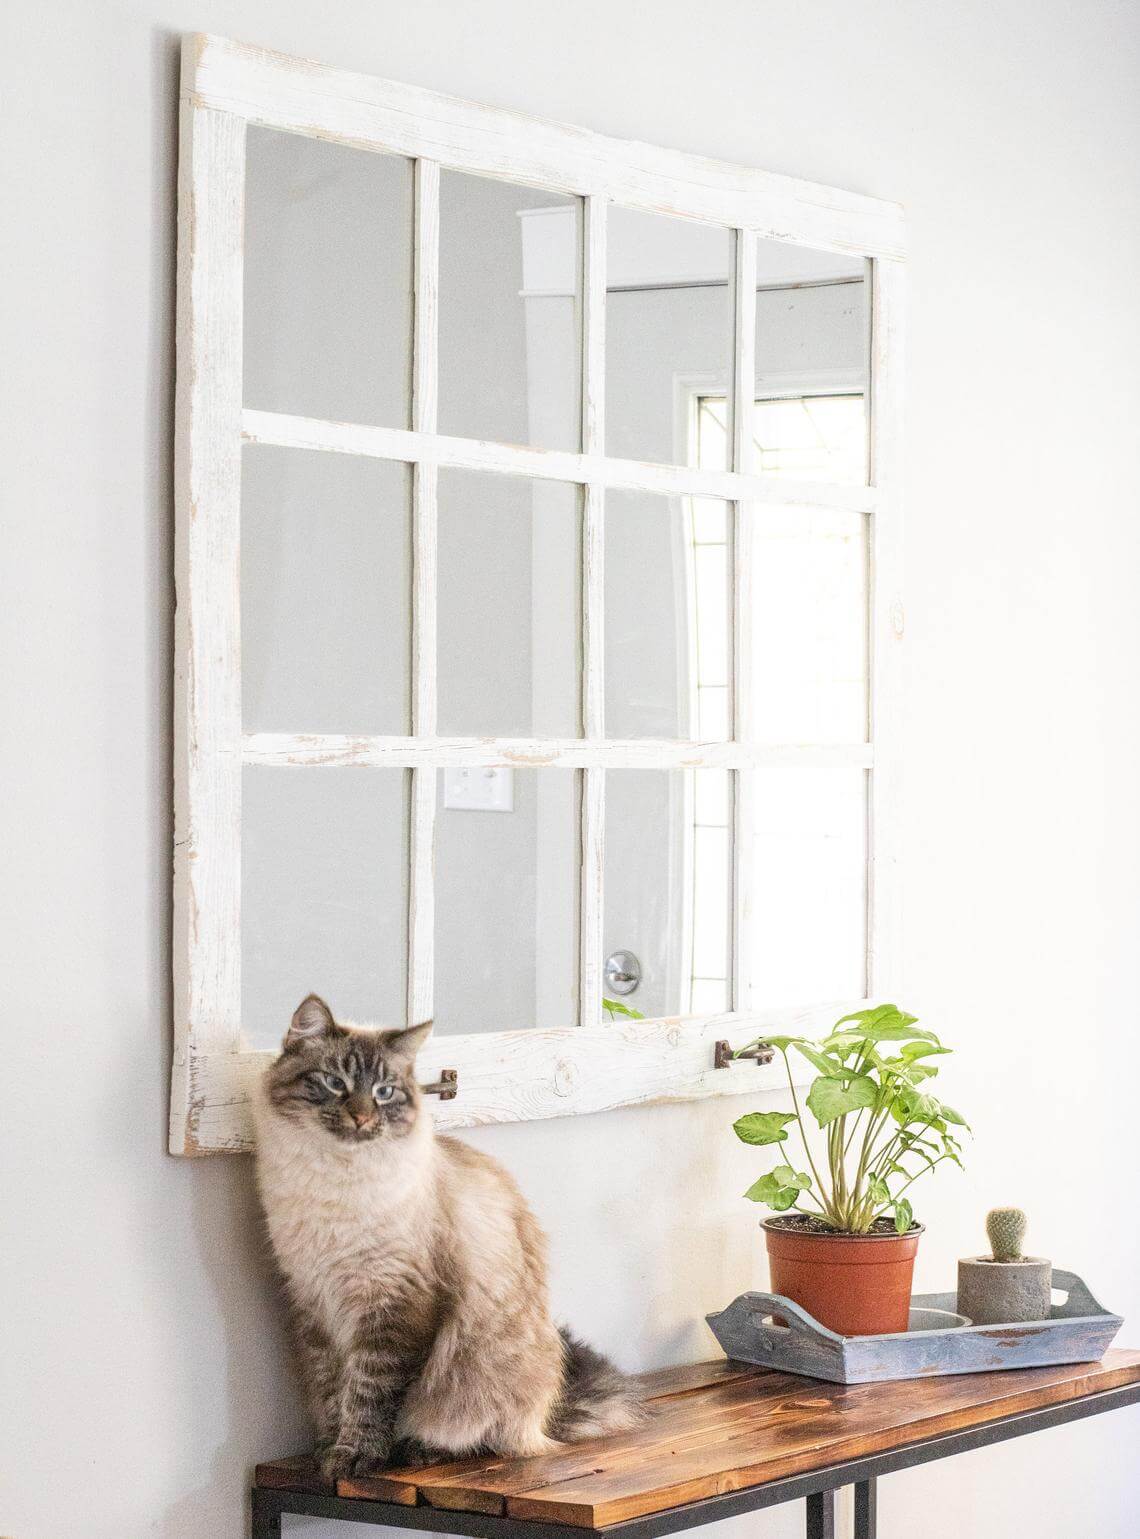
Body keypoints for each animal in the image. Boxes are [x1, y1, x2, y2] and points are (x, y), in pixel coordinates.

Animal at [253, 984, 640, 1477]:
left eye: (383, 1092)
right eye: (335, 1083)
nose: (362, 1118)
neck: (336, 1179)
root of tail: (546, 1416)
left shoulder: (393, 1308)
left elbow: (370, 1395)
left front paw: (356, 1457)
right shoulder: (313, 1301)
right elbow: (330, 1392)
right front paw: (327, 1452)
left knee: (485, 1436)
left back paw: (422, 1449)